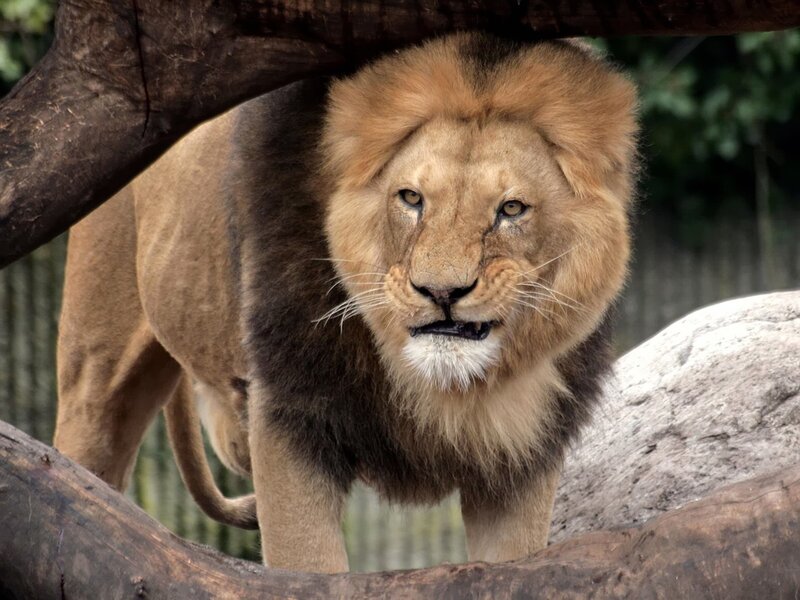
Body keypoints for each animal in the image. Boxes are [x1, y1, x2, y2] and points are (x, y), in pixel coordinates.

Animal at [54, 33, 638, 573]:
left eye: (511, 209)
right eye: (411, 198)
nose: (441, 292)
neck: (444, 391)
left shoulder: (524, 458)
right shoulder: (288, 414)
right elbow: (307, 562)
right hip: (97, 379)